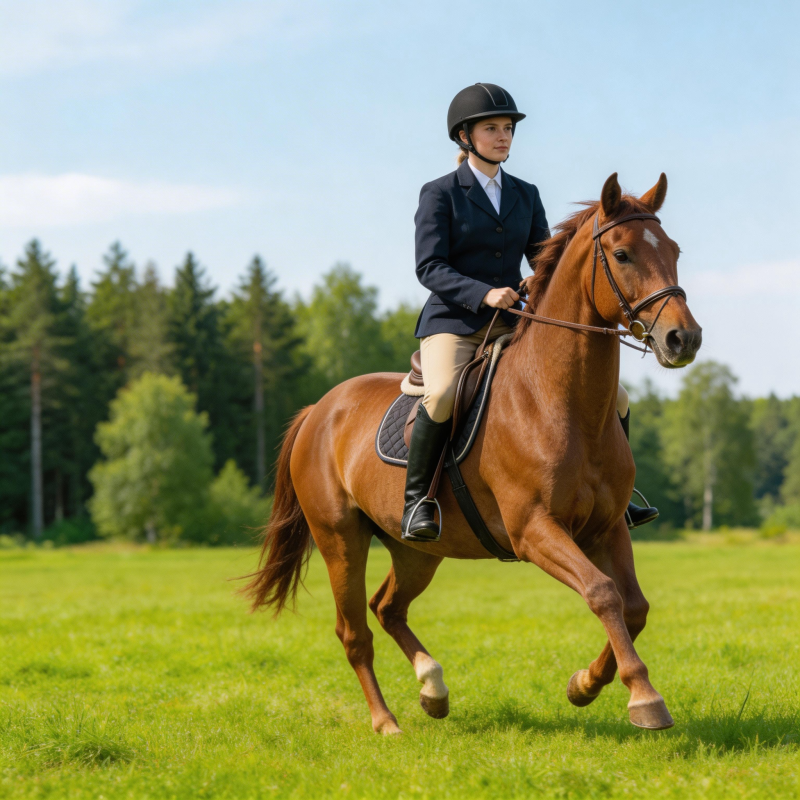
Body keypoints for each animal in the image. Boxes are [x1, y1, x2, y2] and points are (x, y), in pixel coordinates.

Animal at [243, 173, 702, 734]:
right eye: (621, 254)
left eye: (674, 250)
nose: (683, 338)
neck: (560, 399)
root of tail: (319, 409)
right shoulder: (534, 529)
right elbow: (602, 593)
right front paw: (643, 698)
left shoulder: (607, 526)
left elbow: (633, 606)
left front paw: (584, 685)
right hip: (340, 541)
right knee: (354, 632)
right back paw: (386, 722)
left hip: (416, 549)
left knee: (388, 607)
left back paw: (432, 689)